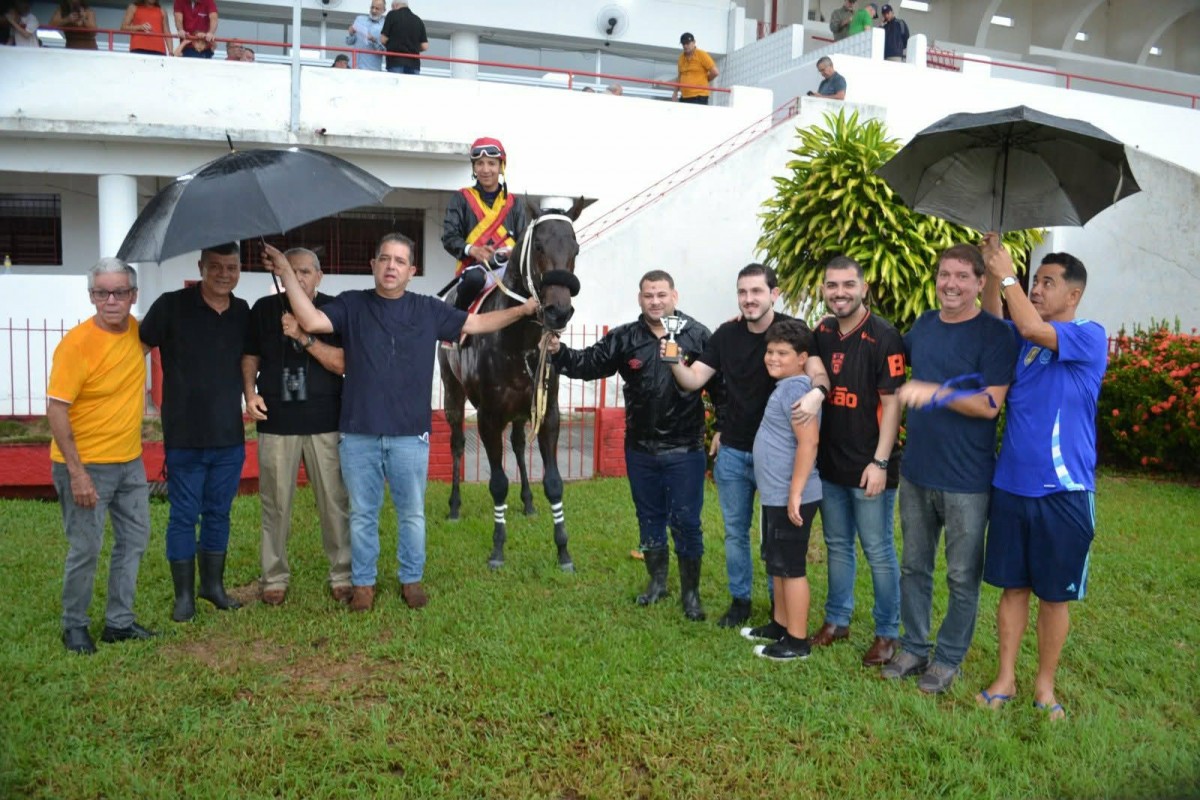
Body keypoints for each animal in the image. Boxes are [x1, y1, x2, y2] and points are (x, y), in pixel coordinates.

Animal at [437, 197, 591, 571]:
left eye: (575, 248)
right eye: (538, 247)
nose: (558, 312)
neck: (516, 340)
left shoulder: (547, 412)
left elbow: (554, 482)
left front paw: (563, 550)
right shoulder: (489, 418)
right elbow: (497, 484)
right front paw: (497, 549)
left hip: (523, 411)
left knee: (520, 446)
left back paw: (528, 501)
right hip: (453, 394)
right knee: (457, 444)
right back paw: (454, 506)